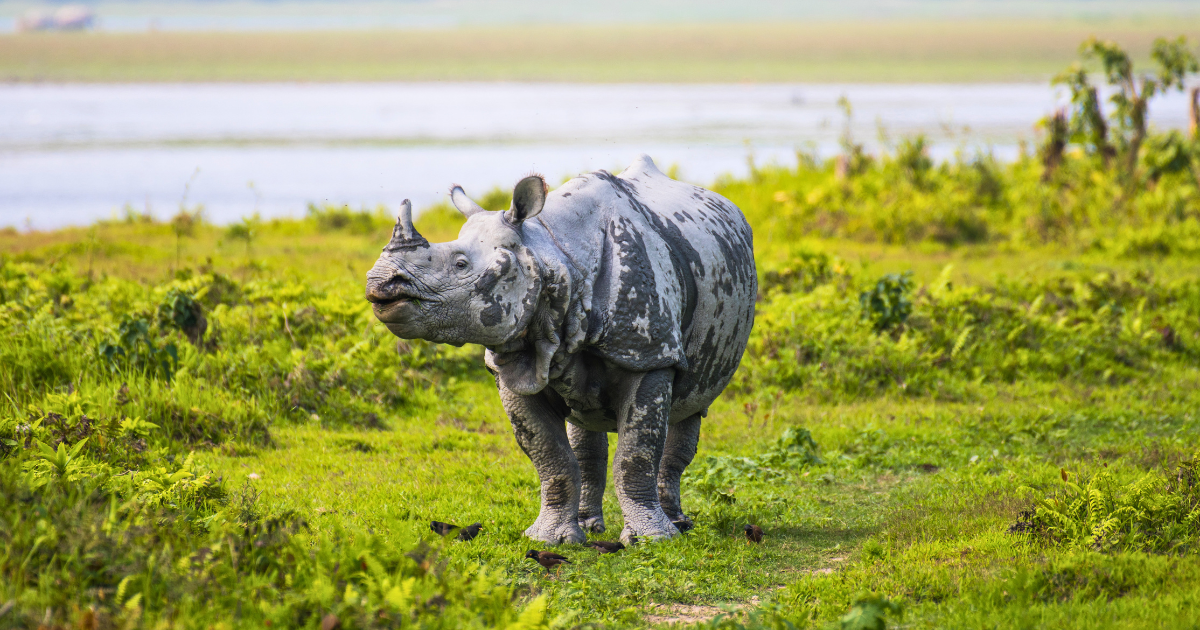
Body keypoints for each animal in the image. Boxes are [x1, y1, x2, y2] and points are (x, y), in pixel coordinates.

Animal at [365, 155, 756, 544]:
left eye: (460, 265)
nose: (380, 282)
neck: (553, 254)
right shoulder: (513, 366)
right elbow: (550, 456)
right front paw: (548, 539)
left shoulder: (649, 354)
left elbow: (636, 455)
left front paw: (651, 540)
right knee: (585, 429)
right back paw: (590, 526)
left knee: (690, 409)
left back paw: (677, 525)